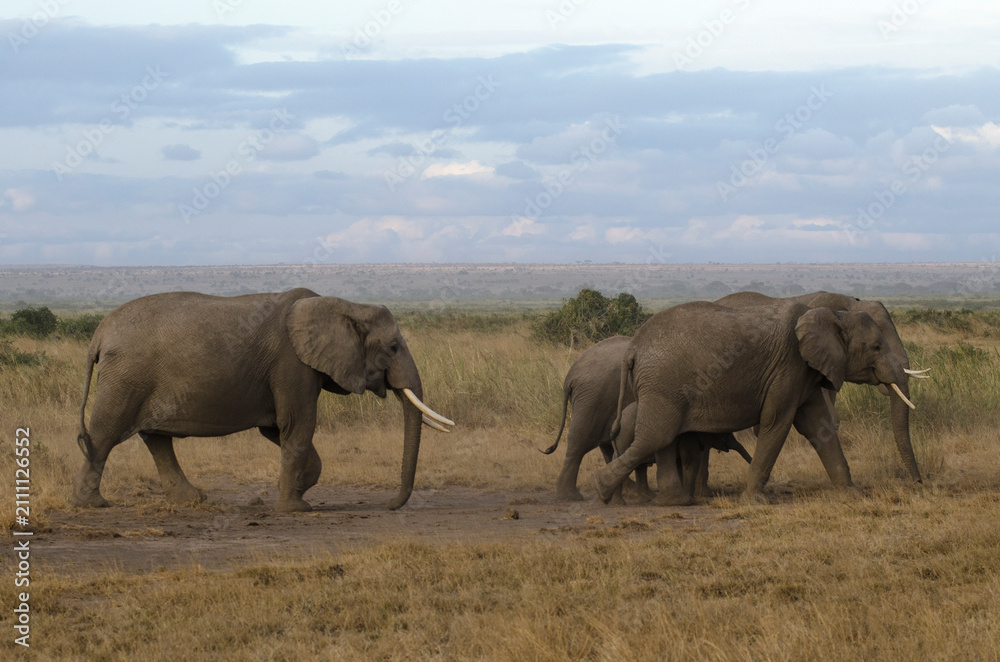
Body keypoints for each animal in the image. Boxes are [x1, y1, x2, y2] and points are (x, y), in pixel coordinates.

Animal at [70, 288, 454, 513]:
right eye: (393, 348)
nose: (389, 505)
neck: (344, 304)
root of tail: (98, 335)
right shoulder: (291, 363)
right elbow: (298, 424)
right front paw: (295, 509)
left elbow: (278, 430)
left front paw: (295, 491)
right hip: (125, 378)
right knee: (104, 434)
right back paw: (91, 504)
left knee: (156, 439)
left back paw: (193, 500)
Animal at [543, 335, 751, 502]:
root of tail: (570, 376)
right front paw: (704, 494)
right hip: (593, 400)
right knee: (580, 443)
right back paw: (572, 497)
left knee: (606, 445)